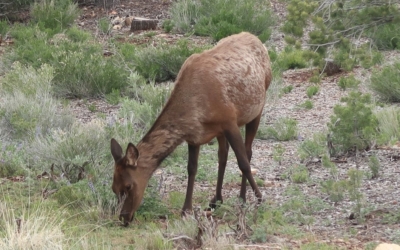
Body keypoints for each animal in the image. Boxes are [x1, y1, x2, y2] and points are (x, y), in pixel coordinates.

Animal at [110, 31, 272, 227]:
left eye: (128, 185)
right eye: (113, 188)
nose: (123, 218)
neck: (194, 110)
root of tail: (255, 38)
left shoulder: (229, 121)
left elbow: (244, 163)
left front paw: (260, 198)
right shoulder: (195, 135)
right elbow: (192, 169)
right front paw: (186, 209)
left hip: (257, 107)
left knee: (247, 153)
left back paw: (242, 198)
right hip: (220, 131)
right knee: (223, 155)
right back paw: (217, 199)